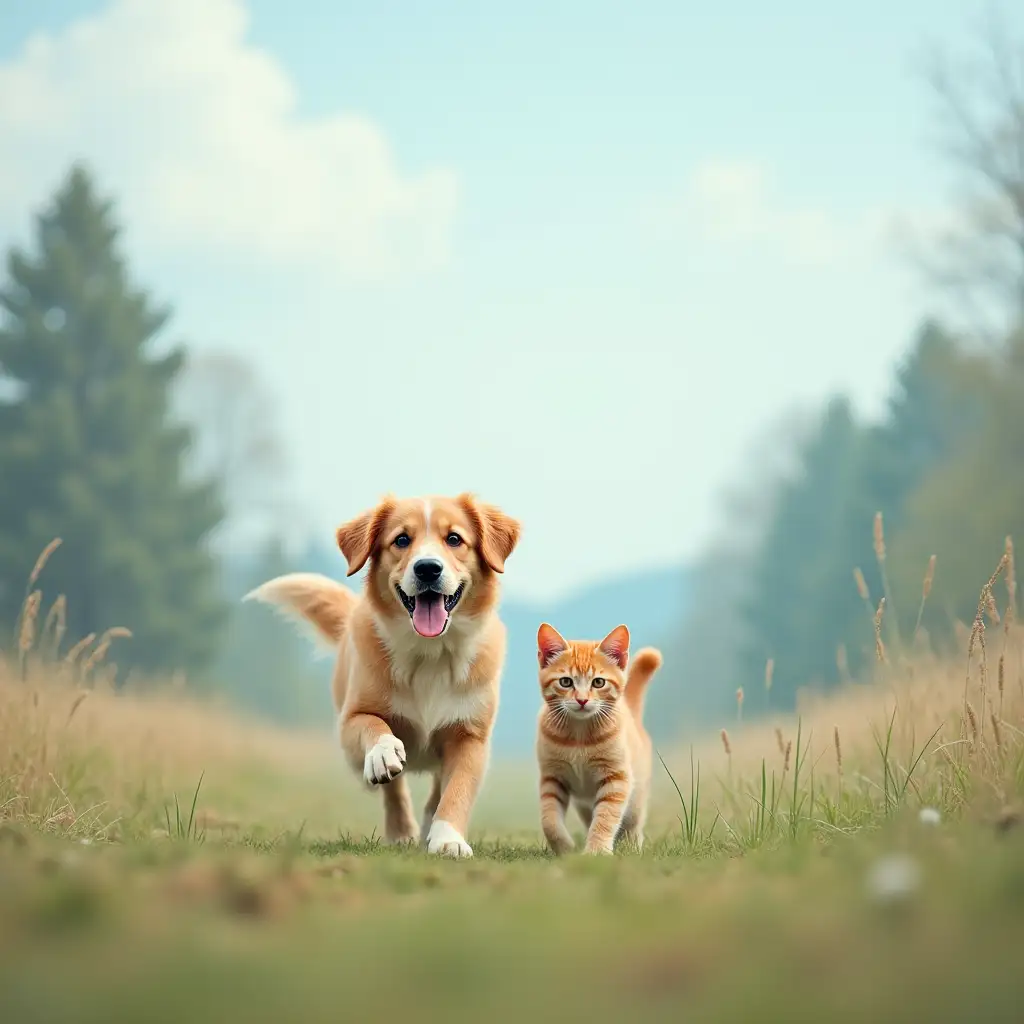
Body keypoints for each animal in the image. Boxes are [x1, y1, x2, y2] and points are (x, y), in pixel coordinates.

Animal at [245, 493, 520, 856]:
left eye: (454, 539)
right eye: (401, 540)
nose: (427, 568)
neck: (430, 652)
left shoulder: (471, 735)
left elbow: (456, 791)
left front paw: (447, 839)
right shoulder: (351, 719)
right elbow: (373, 725)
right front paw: (383, 751)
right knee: (394, 787)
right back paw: (400, 828)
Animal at [536, 622, 663, 856]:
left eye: (598, 682)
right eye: (566, 682)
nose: (582, 700)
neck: (579, 734)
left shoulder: (616, 779)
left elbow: (605, 818)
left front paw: (596, 852)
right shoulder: (552, 777)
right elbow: (549, 820)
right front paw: (565, 849)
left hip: (635, 801)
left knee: (632, 826)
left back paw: (631, 847)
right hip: (584, 805)